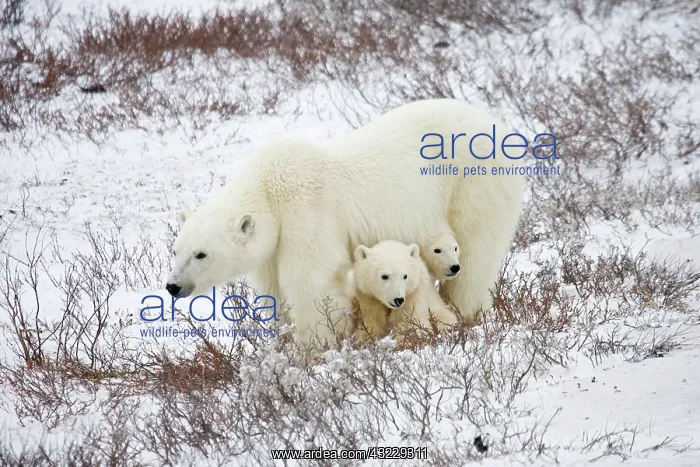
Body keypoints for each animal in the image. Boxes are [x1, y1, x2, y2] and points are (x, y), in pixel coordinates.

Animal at [166, 98, 525, 345]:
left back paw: (466, 313)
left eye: (201, 254)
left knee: (474, 254)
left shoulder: (306, 211)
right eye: (176, 250)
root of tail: (498, 125)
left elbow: (313, 282)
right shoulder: (272, 247)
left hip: (473, 183)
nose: (173, 286)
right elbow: (275, 290)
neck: (268, 189)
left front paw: (313, 348)